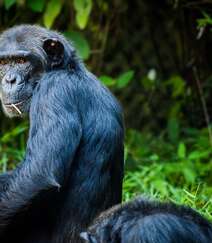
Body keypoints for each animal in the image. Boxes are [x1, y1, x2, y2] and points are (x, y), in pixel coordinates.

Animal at [0, 25, 124, 243]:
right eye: (4, 63)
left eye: (22, 61)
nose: (9, 79)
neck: (67, 70)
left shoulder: (54, 91)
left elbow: (38, 173)